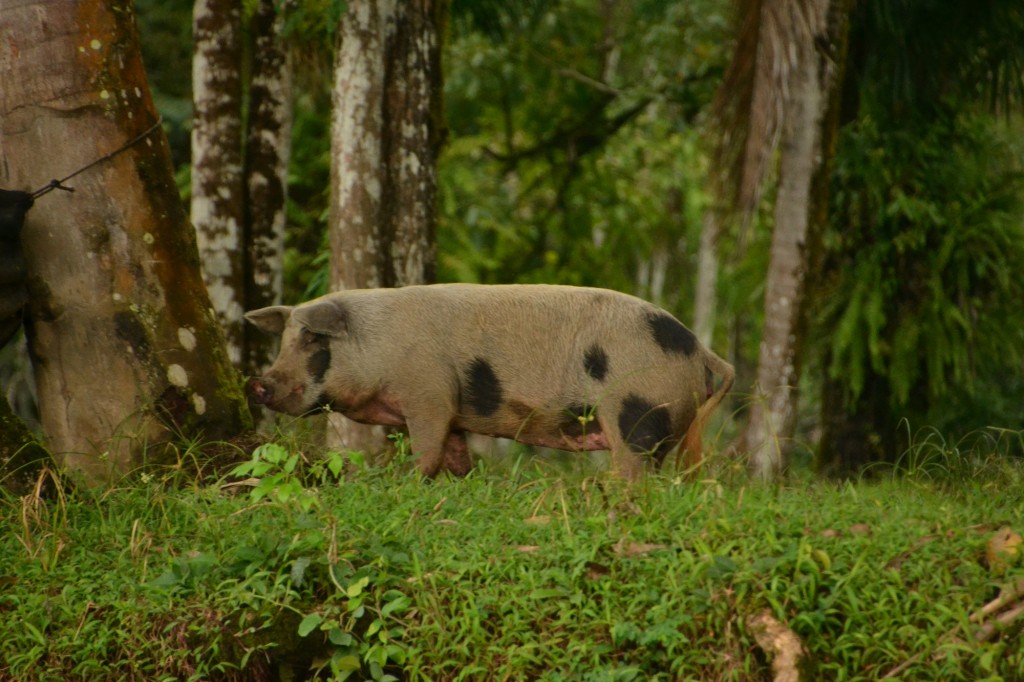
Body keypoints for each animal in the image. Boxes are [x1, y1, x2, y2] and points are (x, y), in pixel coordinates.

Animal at [243, 280, 733, 477]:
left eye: (312, 339)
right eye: (284, 338)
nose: (258, 384)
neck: (379, 346)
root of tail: (703, 352)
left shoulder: (428, 393)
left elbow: (426, 450)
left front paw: (402, 481)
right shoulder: (453, 410)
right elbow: (455, 453)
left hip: (639, 411)